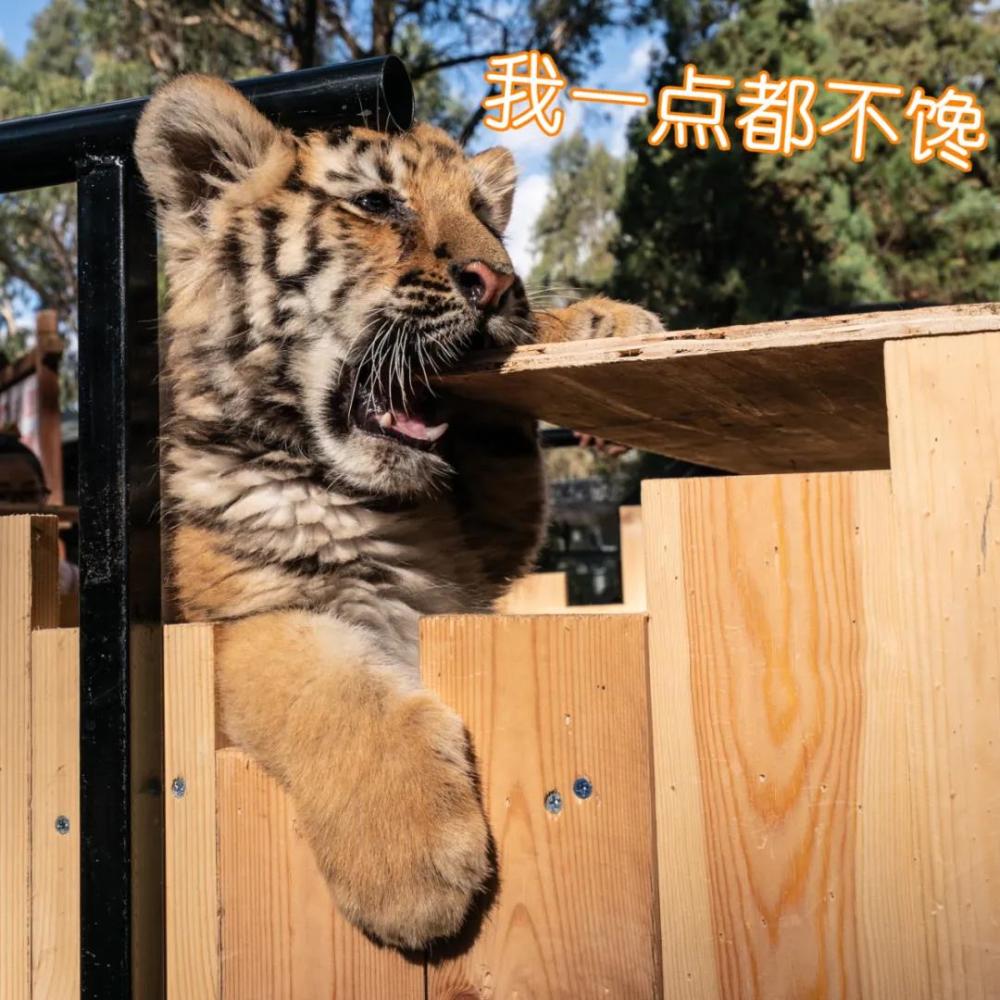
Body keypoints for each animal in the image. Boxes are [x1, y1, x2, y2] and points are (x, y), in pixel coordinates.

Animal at [134, 74, 664, 950]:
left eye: (485, 213)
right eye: (379, 203)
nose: (498, 282)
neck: (373, 494)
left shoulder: (489, 545)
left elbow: (509, 463)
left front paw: (596, 321)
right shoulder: (239, 620)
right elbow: (328, 686)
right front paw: (413, 864)